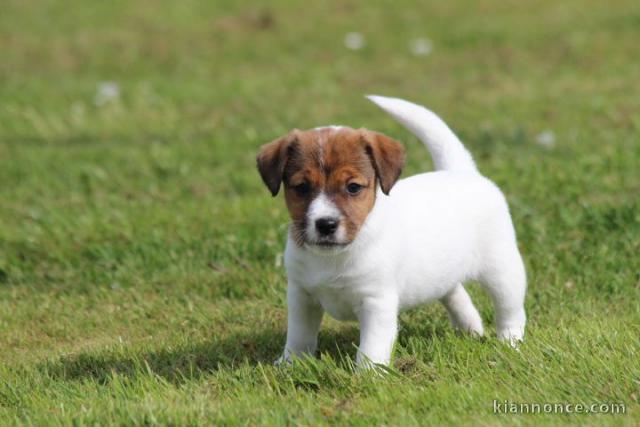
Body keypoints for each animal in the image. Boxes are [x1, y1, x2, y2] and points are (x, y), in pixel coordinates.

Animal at [258, 96, 528, 368]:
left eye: (353, 187)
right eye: (302, 187)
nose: (326, 224)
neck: (333, 258)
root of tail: (460, 171)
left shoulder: (376, 303)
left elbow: (371, 347)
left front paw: (368, 373)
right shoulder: (302, 297)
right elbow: (299, 336)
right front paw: (290, 363)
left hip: (503, 271)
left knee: (511, 311)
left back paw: (510, 343)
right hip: (443, 272)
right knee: (455, 293)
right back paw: (470, 329)